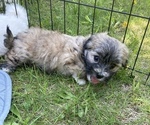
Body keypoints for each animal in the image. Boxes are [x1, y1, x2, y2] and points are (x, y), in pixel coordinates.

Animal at [0, 26, 129, 85]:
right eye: (96, 58)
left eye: (113, 66)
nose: (99, 75)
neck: (82, 52)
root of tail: (16, 38)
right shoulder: (67, 58)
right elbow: (76, 71)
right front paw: (80, 80)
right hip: (21, 53)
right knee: (10, 56)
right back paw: (6, 68)